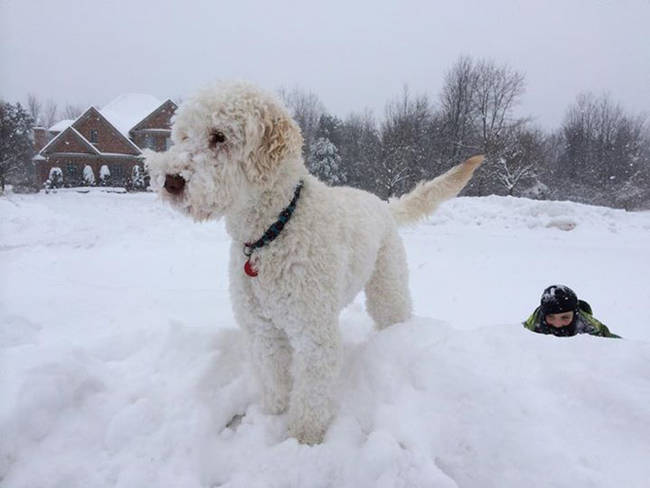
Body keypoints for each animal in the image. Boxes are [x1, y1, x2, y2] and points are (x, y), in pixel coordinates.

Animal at [147, 82, 480, 444]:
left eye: (218, 136)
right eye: (182, 135)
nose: (171, 180)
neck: (272, 232)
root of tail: (383, 204)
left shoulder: (314, 331)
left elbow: (311, 393)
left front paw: (303, 440)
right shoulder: (262, 329)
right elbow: (275, 379)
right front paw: (273, 414)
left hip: (386, 282)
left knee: (393, 312)